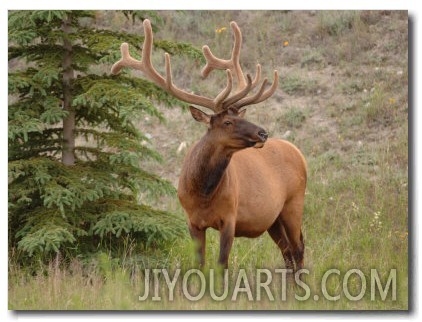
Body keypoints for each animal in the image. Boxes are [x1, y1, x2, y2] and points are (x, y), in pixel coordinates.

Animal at [110, 18, 308, 272]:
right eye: (228, 121)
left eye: (240, 115)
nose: (263, 132)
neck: (203, 194)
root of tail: (298, 152)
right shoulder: (193, 221)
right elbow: (200, 264)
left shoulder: (230, 217)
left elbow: (222, 264)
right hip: (273, 218)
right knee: (288, 253)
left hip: (295, 202)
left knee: (298, 248)